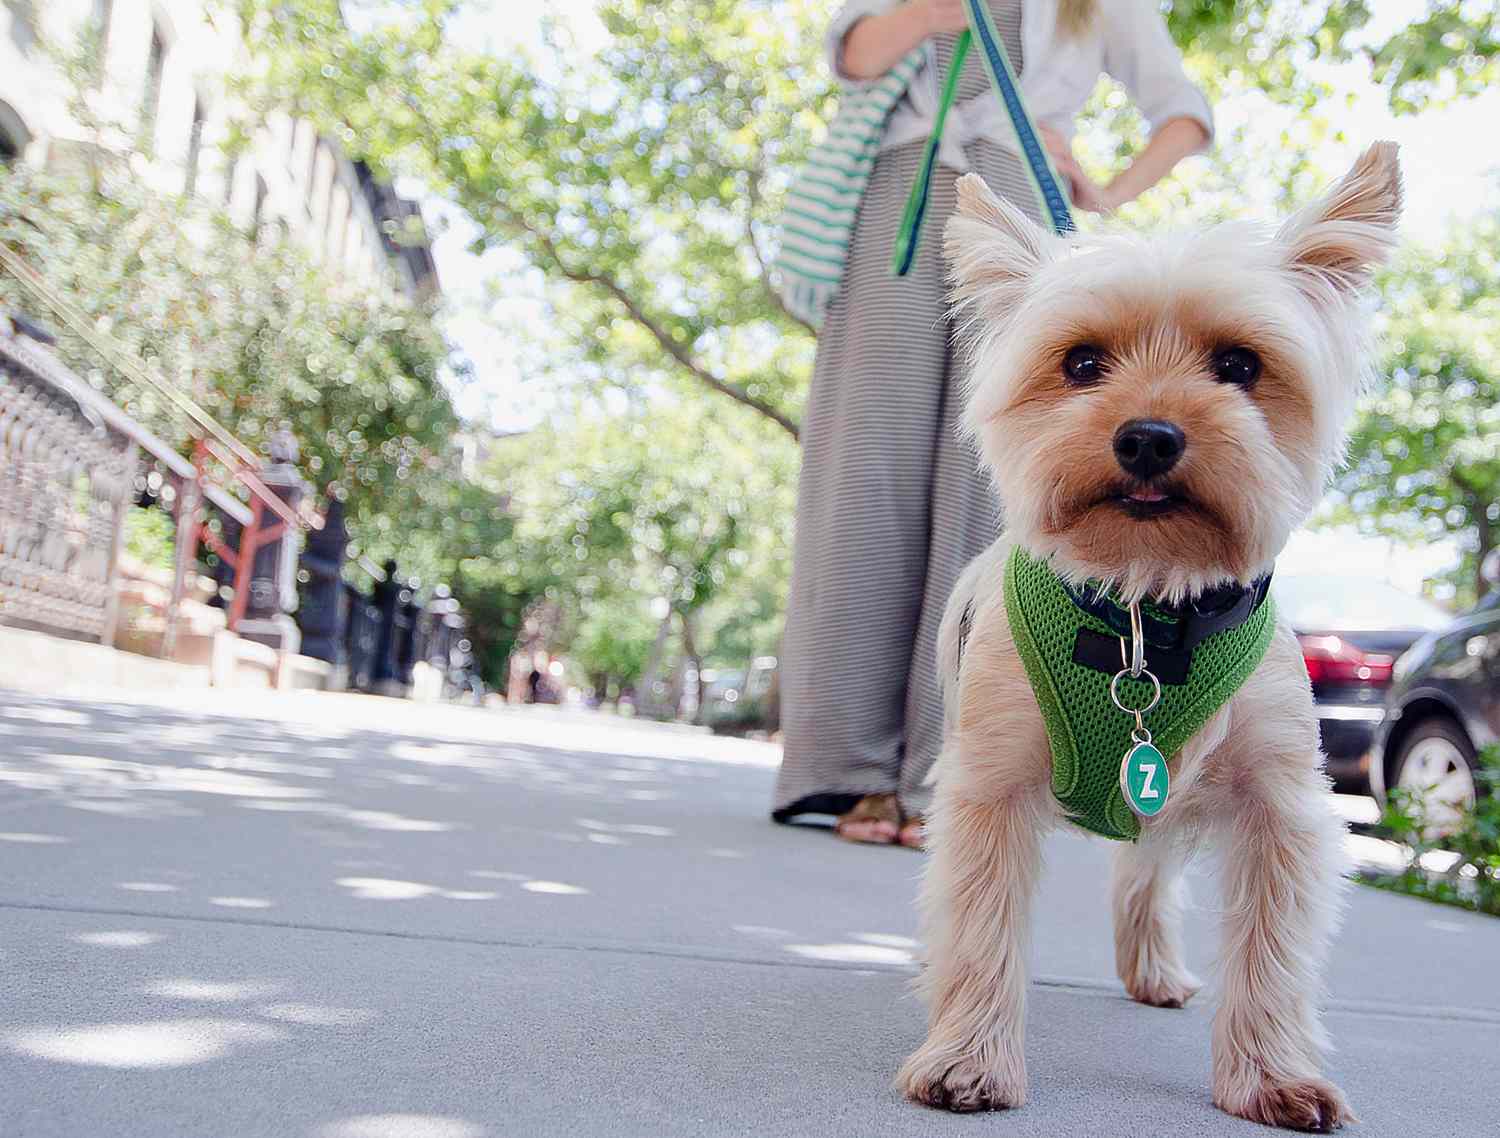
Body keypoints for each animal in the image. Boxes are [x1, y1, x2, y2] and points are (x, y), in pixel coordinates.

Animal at [894, 142, 1398, 1133]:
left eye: (1240, 365)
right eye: (1082, 363)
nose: (1150, 437)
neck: (1141, 607)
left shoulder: (1280, 804)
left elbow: (1274, 954)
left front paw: (1271, 1075)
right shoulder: (987, 786)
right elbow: (977, 920)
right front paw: (968, 1058)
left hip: (1163, 794)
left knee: (1144, 876)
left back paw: (1155, 969)